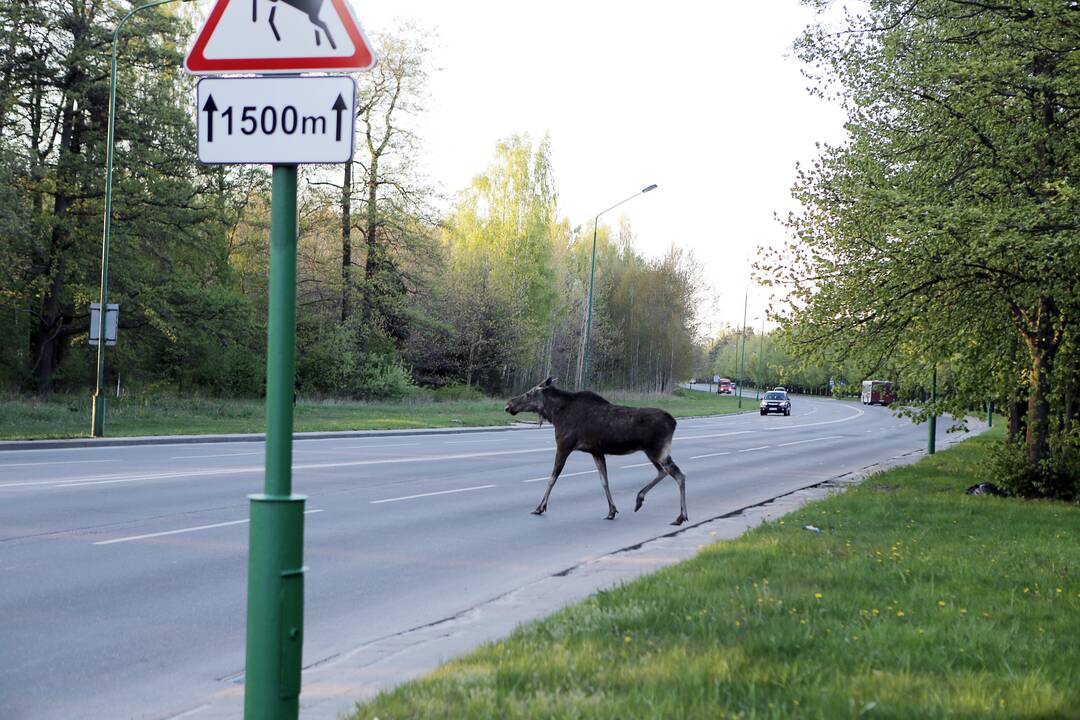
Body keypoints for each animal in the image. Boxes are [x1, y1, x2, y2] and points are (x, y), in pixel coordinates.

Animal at [507, 379, 691, 526]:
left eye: (529, 394)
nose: (508, 404)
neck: (555, 413)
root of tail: (674, 422)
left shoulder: (564, 445)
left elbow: (552, 477)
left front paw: (540, 507)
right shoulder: (596, 451)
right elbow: (604, 480)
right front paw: (611, 511)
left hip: (657, 451)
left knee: (679, 475)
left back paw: (681, 516)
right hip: (652, 453)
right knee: (663, 472)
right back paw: (639, 499)